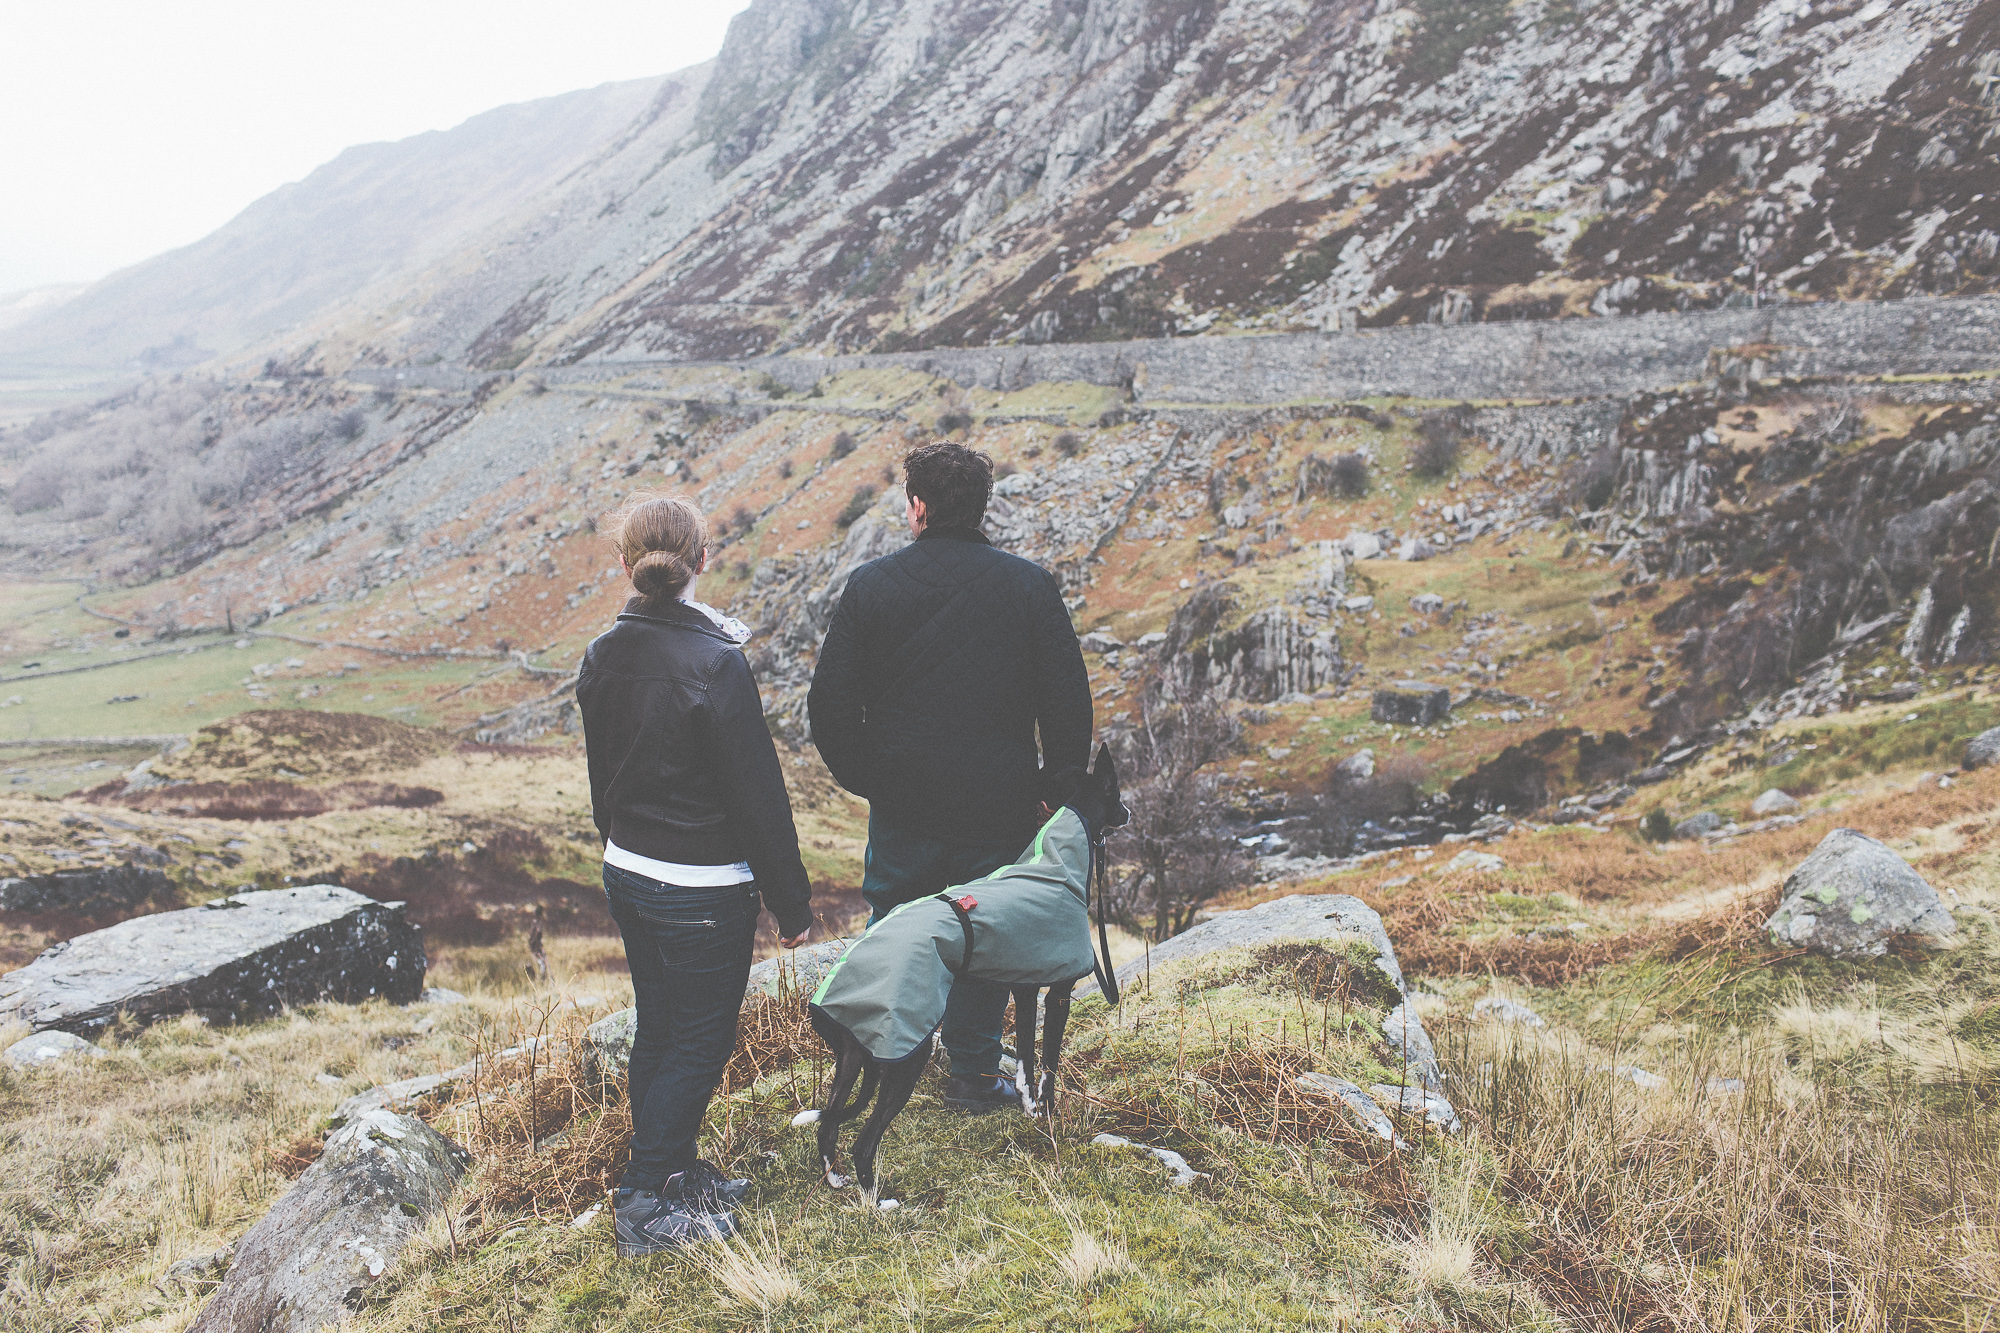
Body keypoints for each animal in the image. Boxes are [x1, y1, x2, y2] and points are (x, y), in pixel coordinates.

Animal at [804, 740, 1136, 1184]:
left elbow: (1026, 1064)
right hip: (906, 1054)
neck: (1055, 860)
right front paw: (1049, 1116)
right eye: (1115, 791)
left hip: (853, 1058)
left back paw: (836, 1180)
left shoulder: (1025, 989)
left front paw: (1030, 1109)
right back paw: (880, 1196)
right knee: (864, 1142)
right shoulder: (1058, 994)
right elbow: (1048, 1065)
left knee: (828, 1125)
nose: (1128, 812)